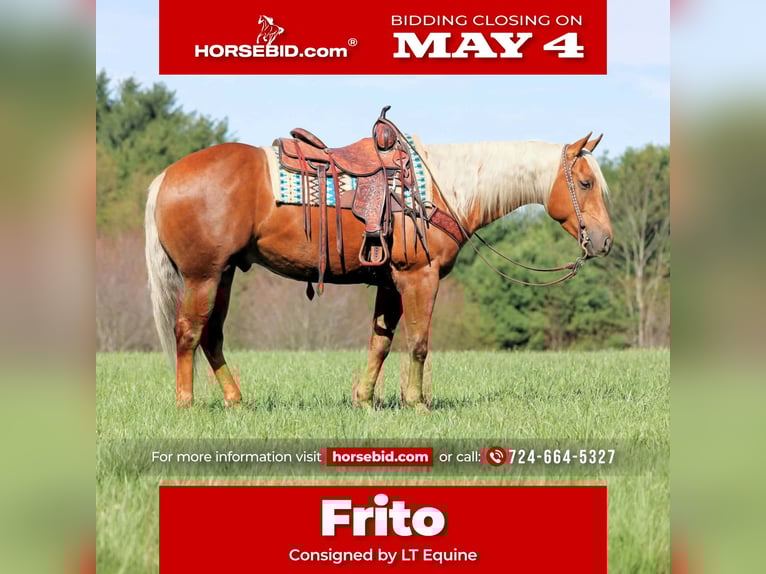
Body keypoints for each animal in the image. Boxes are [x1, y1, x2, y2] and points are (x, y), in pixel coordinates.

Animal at [144, 119, 613, 413]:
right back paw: (186, 404)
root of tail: (166, 175)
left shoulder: (390, 283)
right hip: (203, 276)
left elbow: (380, 343)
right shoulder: (419, 278)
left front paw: (366, 401)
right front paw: (417, 404)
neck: (442, 190)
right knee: (188, 333)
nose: (604, 241)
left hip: (222, 275)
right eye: (586, 182)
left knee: (212, 337)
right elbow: (419, 343)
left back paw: (236, 401)